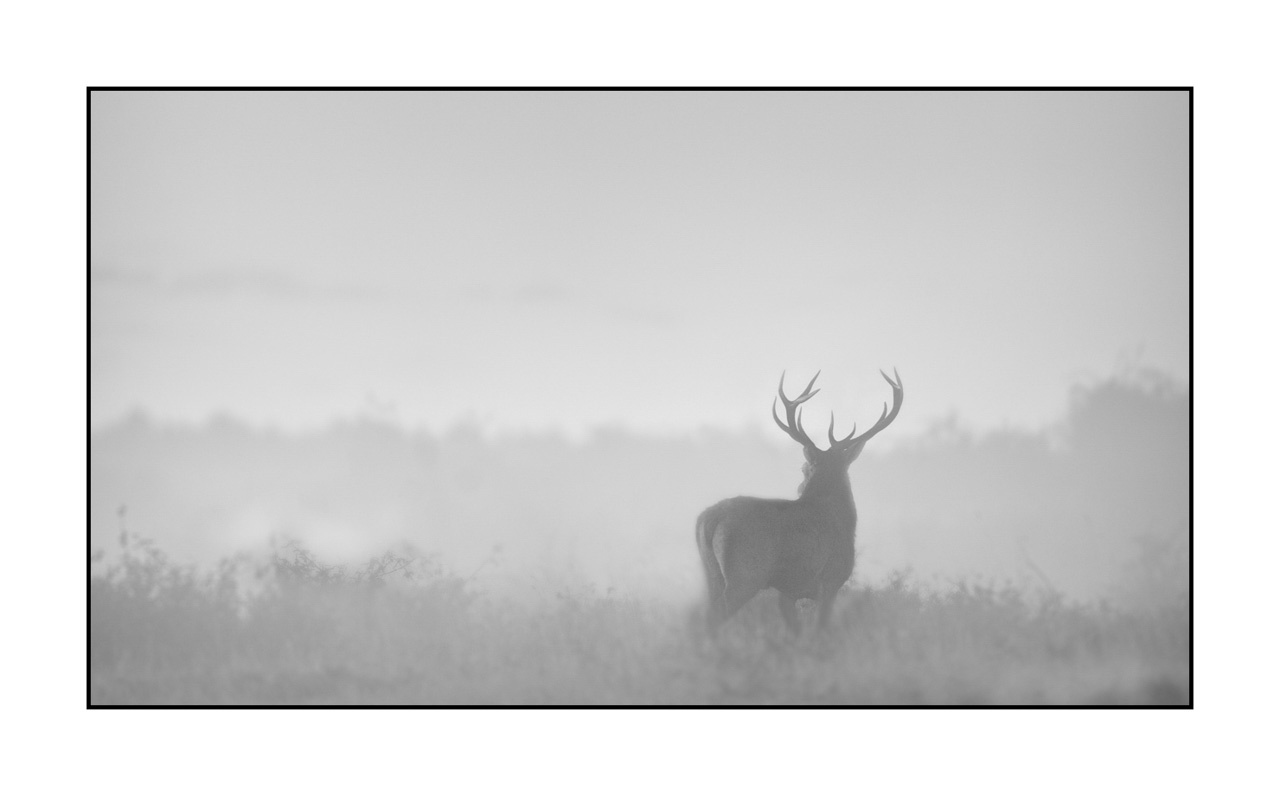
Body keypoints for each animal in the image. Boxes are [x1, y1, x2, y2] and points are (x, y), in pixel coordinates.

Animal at [695, 369, 903, 634]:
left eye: (804, 469)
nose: (798, 486)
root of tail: (709, 518)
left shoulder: (790, 591)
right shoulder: (831, 580)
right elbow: (821, 630)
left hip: (710, 574)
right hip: (745, 572)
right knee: (714, 617)